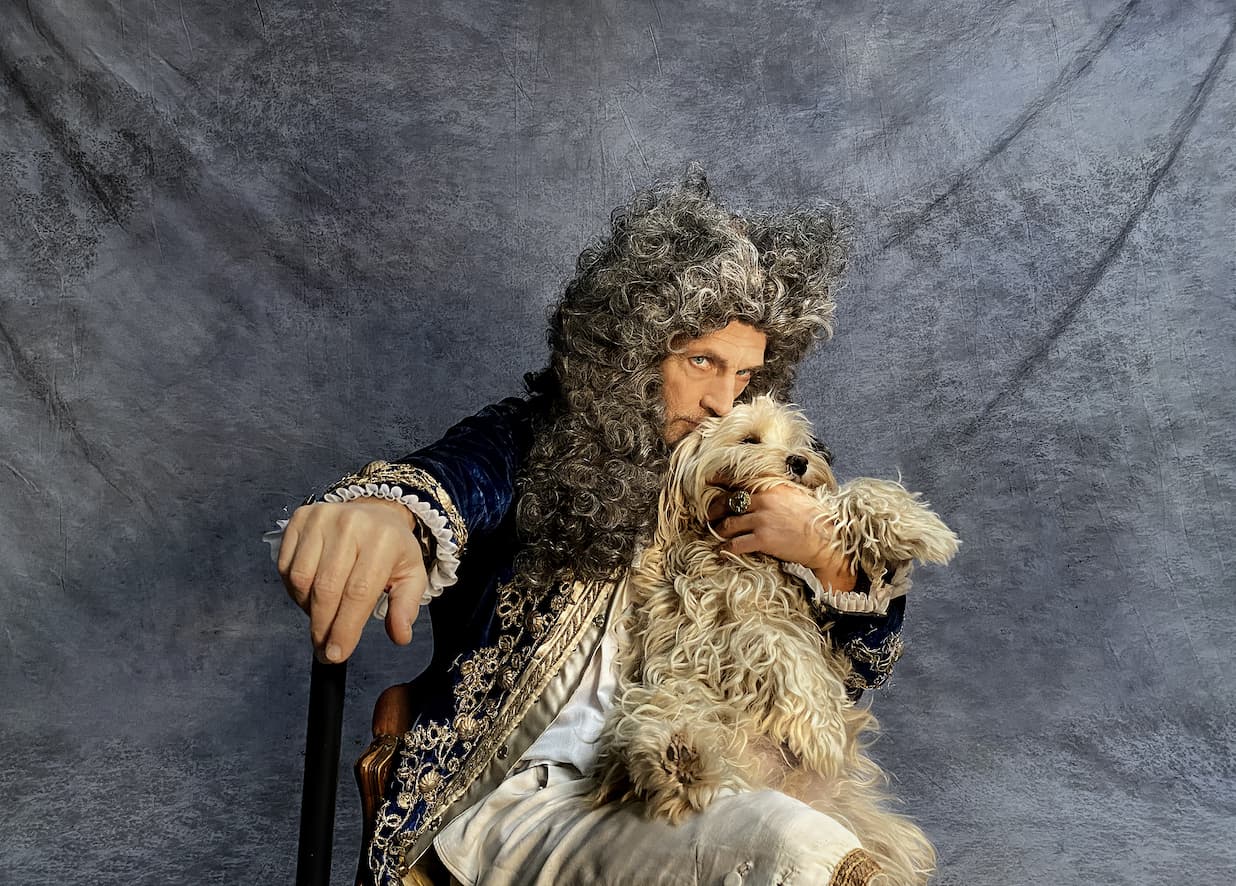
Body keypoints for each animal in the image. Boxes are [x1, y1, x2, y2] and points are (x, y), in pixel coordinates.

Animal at [592, 395, 960, 885]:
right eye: (750, 439)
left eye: (798, 442)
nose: (799, 462)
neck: (752, 554)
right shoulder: (726, 621)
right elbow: (778, 644)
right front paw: (822, 731)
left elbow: (847, 499)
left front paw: (916, 525)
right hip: (664, 696)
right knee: (653, 739)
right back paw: (680, 761)